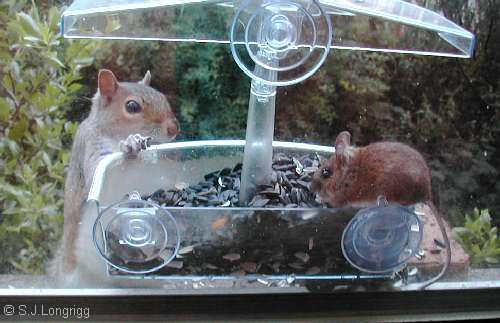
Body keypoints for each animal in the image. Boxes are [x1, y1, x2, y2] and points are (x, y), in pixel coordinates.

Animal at [54, 69, 180, 288]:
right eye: (132, 106)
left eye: (163, 97)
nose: (174, 128)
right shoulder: (90, 144)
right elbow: (96, 171)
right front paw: (131, 144)